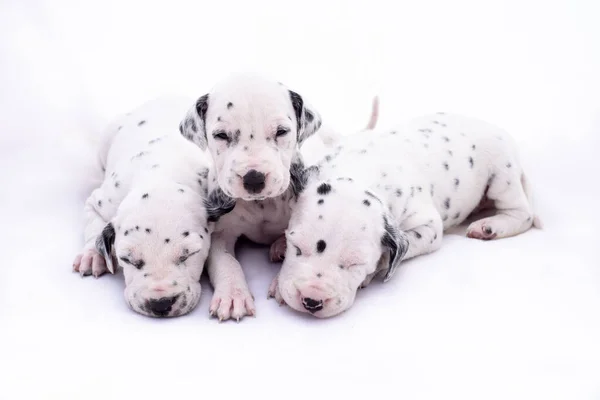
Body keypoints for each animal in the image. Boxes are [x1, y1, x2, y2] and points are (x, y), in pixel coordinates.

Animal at [72, 95, 234, 318]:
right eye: (127, 259)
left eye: (189, 254)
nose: (160, 304)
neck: (160, 174)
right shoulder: (99, 202)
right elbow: (93, 225)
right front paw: (91, 255)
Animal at [270, 112, 540, 318]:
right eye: (297, 247)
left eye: (356, 264)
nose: (311, 300)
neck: (362, 170)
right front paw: (279, 249)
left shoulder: (429, 227)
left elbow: (390, 254)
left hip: (502, 174)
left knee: (522, 213)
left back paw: (490, 227)